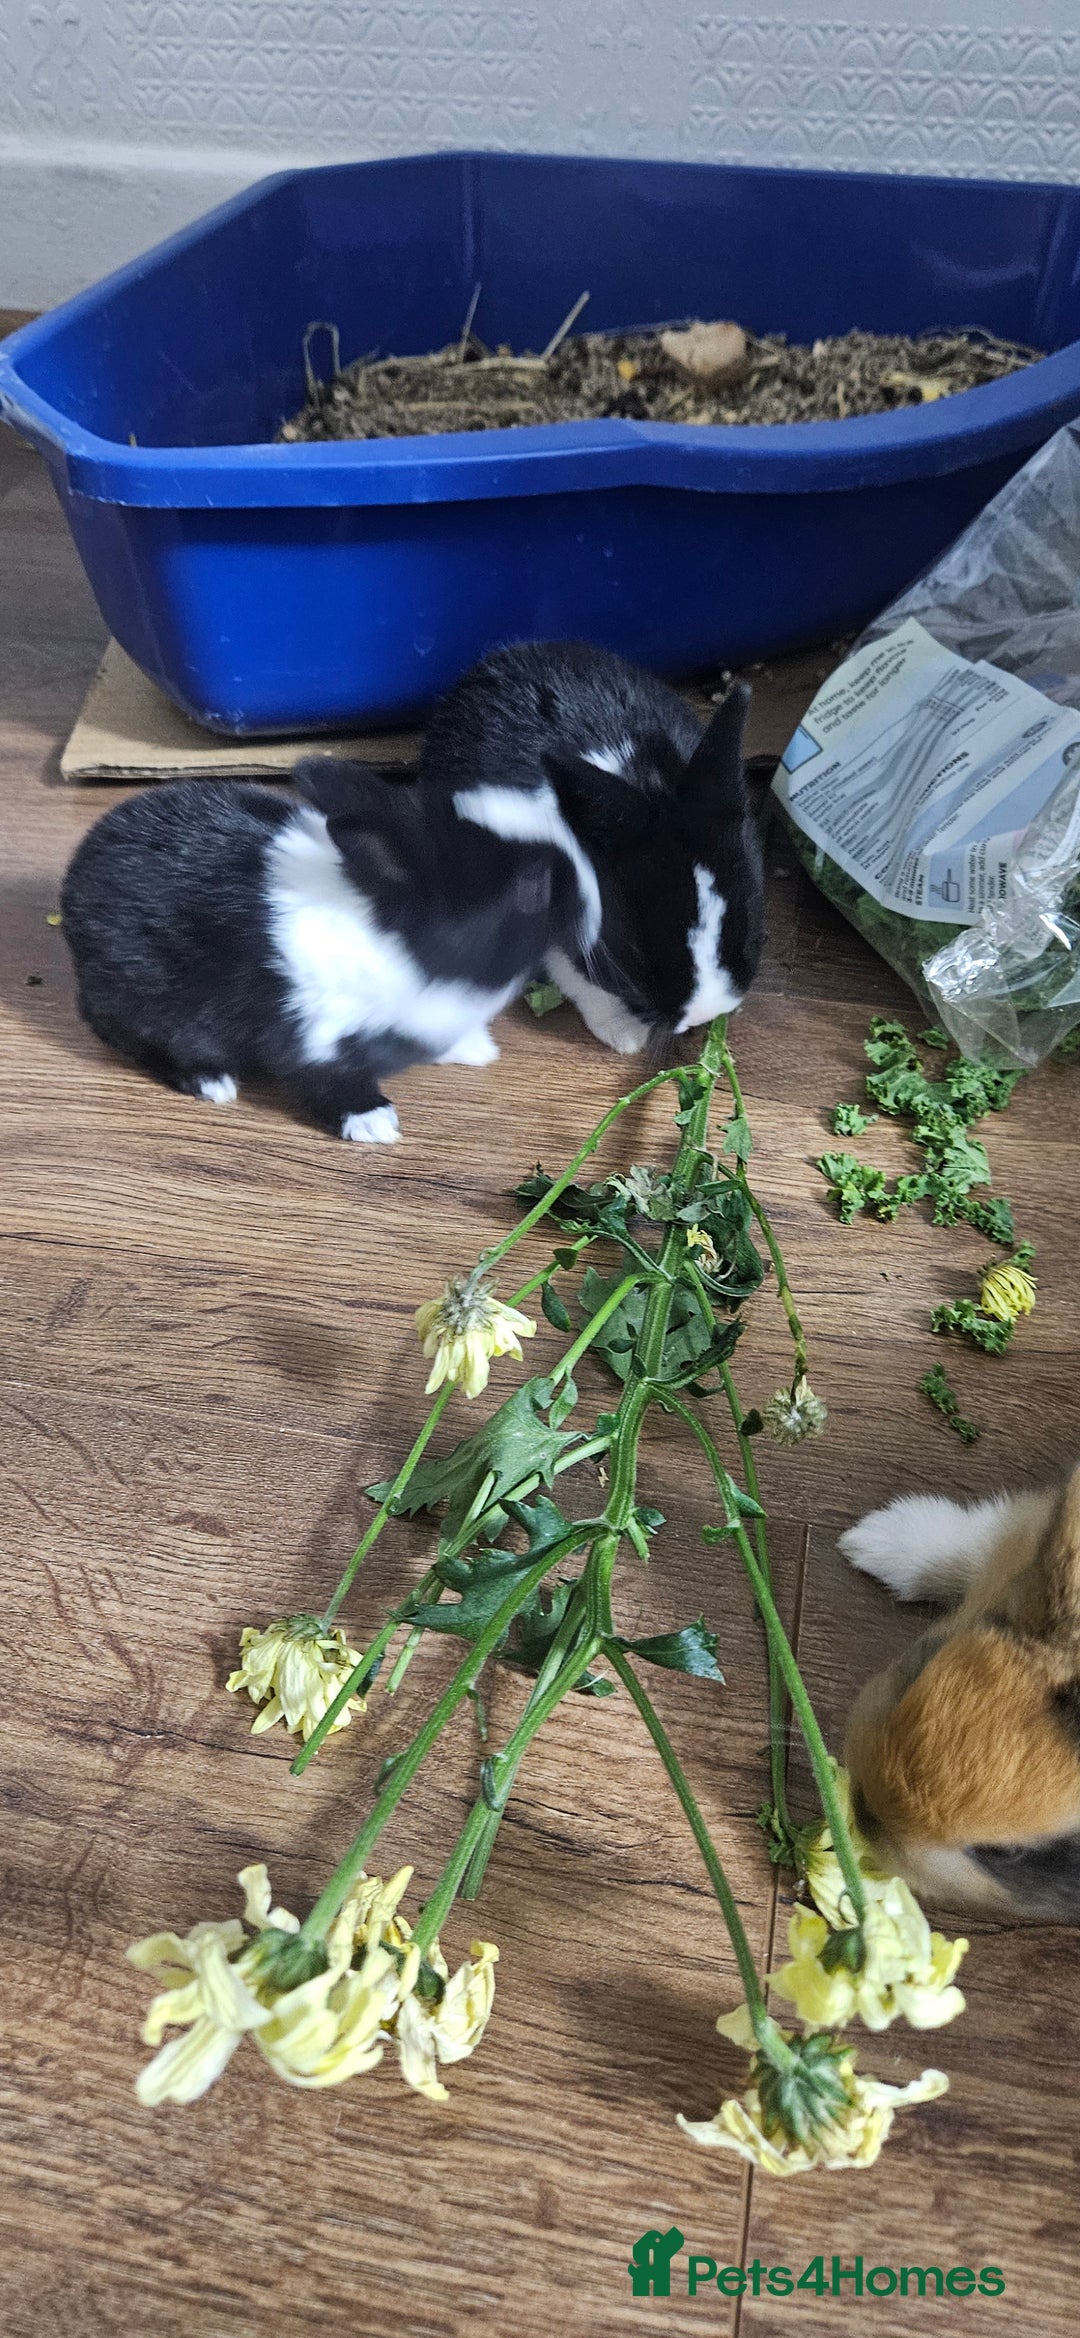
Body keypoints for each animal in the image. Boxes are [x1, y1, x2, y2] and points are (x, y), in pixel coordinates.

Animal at [59, 756, 600, 1142]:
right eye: (534, 886)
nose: (594, 900)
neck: (414, 951)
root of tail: (74, 882)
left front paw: (476, 1049)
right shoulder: (317, 1039)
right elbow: (329, 1083)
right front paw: (375, 1123)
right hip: (143, 1004)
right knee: (125, 1035)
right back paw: (211, 1081)